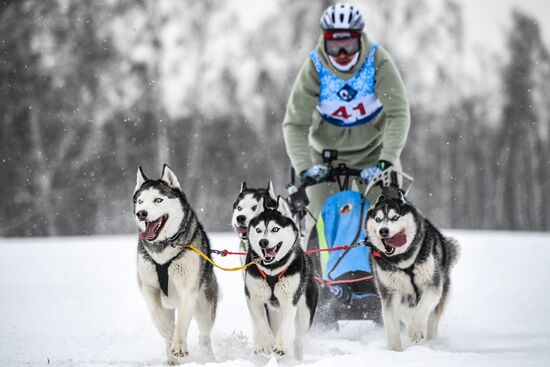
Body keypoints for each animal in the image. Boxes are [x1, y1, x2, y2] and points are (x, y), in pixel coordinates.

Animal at [134, 165, 220, 364]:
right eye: (140, 201)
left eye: (158, 200)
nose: (141, 213)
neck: (164, 247)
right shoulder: (148, 287)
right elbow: (160, 319)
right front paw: (170, 337)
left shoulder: (188, 290)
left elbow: (182, 322)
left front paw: (179, 345)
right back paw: (171, 357)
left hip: (204, 307)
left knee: (204, 335)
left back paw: (207, 357)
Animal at [246, 197, 320, 360]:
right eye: (258, 230)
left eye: (275, 229)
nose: (263, 242)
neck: (272, 269)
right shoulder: (254, 299)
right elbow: (262, 324)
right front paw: (267, 344)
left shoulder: (289, 300)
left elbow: (284, 326)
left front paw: (279, 346)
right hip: (272, 311)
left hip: (305, 312)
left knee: (298, 339)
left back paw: (298, 358)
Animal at [366, 188, 462, 352]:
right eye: (378, 220)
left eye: (395, 217)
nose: (383, 231)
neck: (403, 261)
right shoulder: (390, 292)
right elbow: (392, 324)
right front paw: (395, 351)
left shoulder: (433, 285)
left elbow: (423, 308)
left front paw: (416, 330)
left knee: (431, 321)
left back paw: (429, 340)